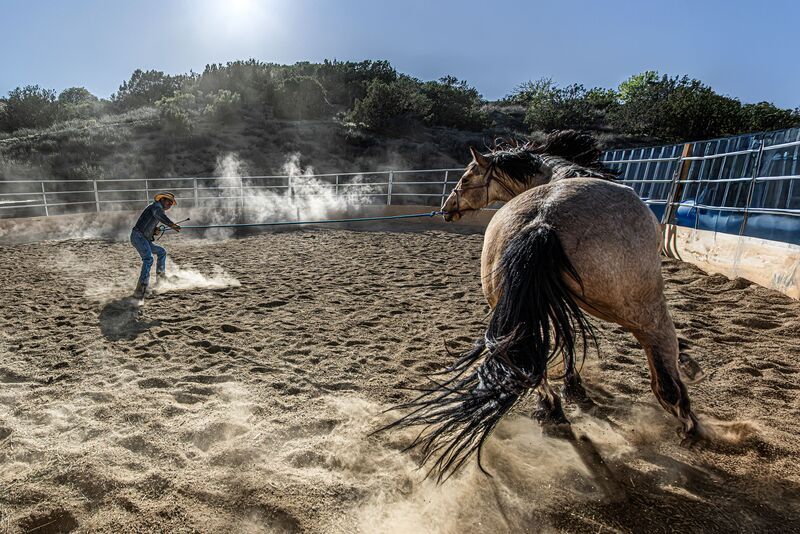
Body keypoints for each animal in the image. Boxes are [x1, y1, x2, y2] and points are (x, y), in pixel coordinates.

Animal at [387, 131, 707, 481]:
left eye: (466, 177)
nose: (447, 208)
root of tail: (542, 218)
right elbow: (570, 341)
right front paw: (576, 388)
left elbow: (563, 340)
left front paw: (573, 389)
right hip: (644, 307)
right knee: (664, 372)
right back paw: (690, 425)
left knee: (522, 358)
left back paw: (552, 411)